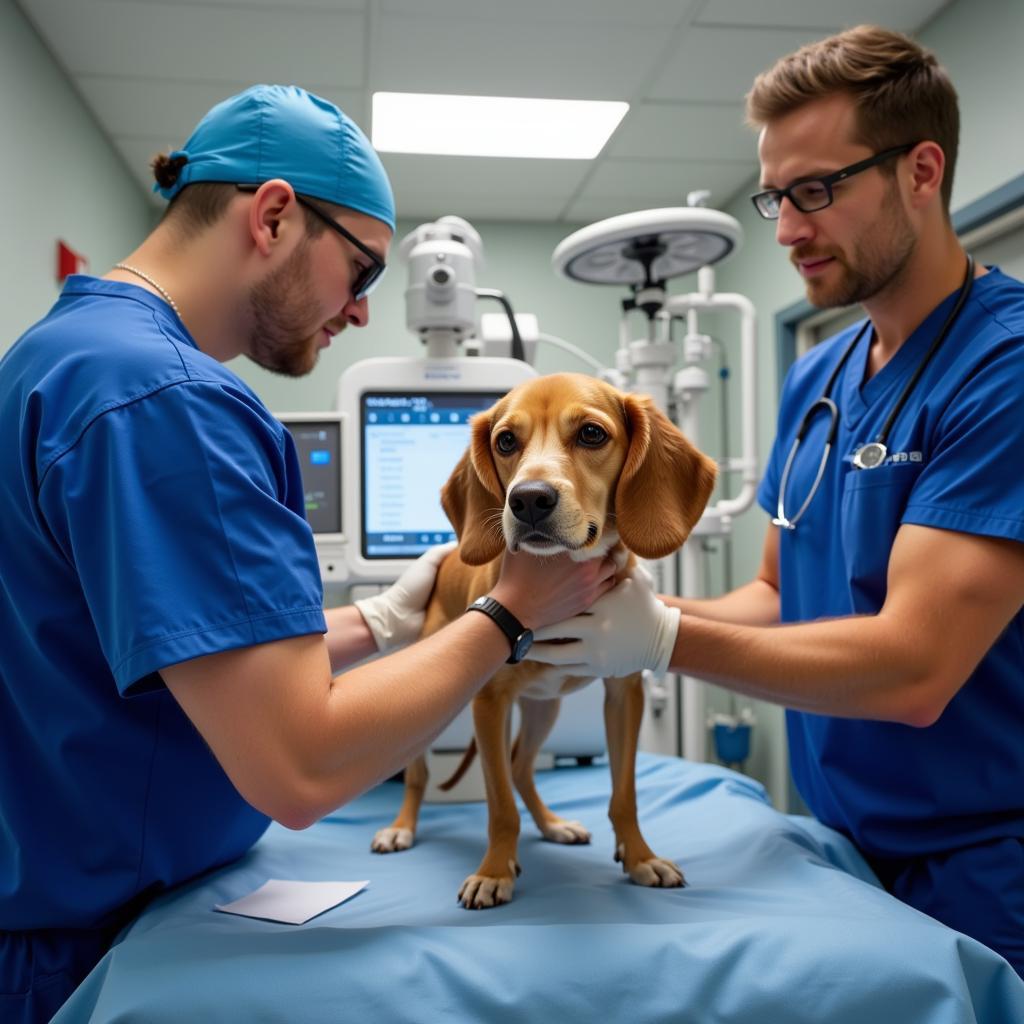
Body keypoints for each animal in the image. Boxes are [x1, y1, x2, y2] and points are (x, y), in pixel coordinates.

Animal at [372, 372, 716, 909]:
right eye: (505, 441)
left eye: (592, 434)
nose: (528, 498)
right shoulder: (489, 704)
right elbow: (499, 807)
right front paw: (495, 870)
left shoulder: (624, 695)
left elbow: (624, 795)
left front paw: (640, 856)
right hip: (426, 712)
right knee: (421, 776)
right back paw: (401, 827)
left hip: (543, 707)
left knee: (520, 767)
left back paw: (553, 825)